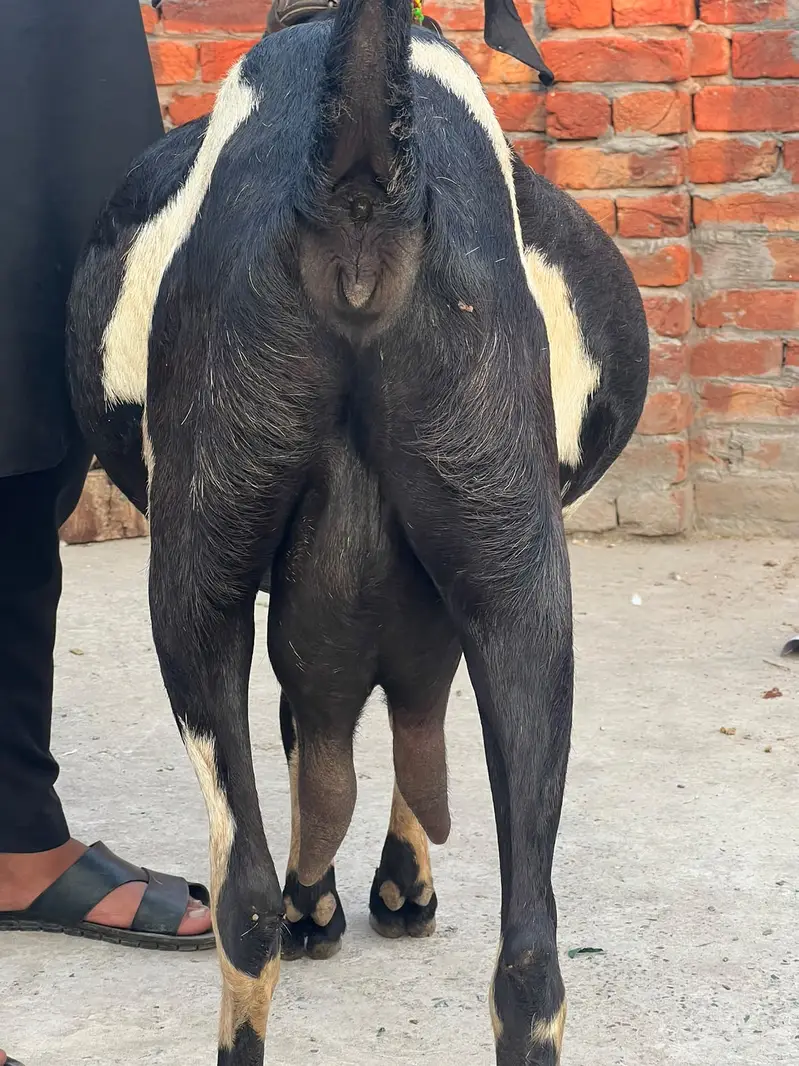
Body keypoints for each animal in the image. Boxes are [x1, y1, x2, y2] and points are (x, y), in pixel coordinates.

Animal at [67, 2, 649, 1063]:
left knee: (246, 905)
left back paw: (291, 913)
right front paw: (383, 888)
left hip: (201, 585)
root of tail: (358, 184)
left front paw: (348, 896)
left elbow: (322, 738)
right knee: (527, 960)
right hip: (521, 591)